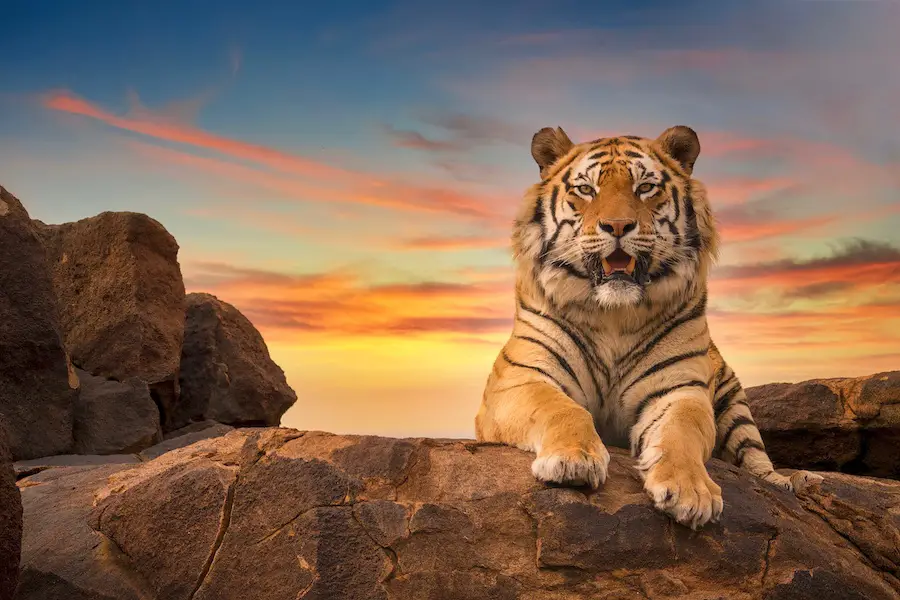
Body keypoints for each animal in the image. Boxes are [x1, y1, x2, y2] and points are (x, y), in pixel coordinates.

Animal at [478, 126, 824, 528]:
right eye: (586, 189)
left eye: (644, 187)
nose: (617, 226)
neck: (613, 315)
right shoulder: (521, 378)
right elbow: (561, 408)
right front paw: (573, 460)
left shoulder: (679, 390)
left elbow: (682, 432)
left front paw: (691, 492)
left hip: (735, 405)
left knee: (756, 459)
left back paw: (791, 482)